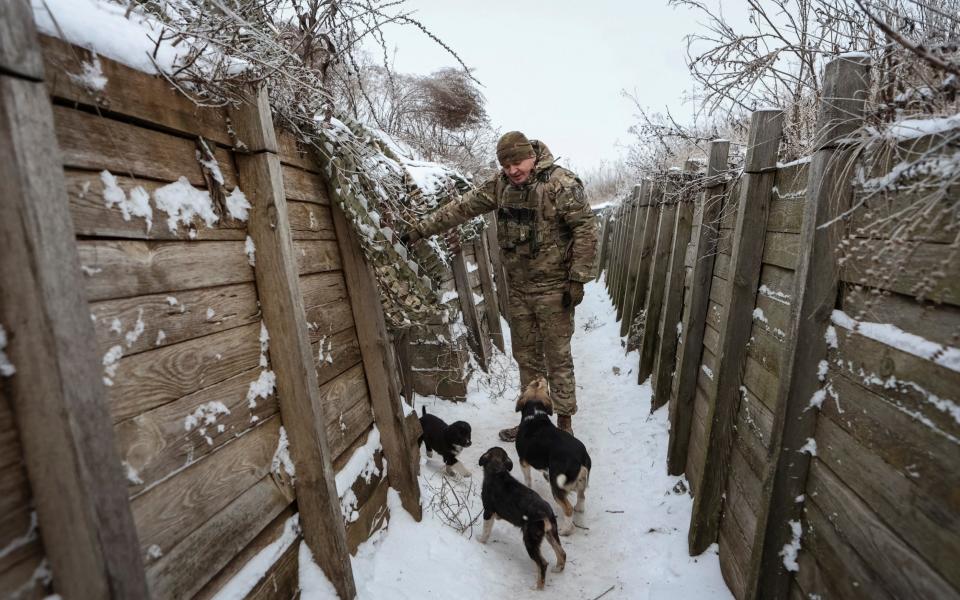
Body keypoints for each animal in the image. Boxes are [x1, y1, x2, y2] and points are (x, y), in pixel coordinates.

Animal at [478, 446, 568, 592]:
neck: (498, 471)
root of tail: (545, 513)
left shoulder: (488, 511)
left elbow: (486, 531)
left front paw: (480, 541)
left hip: (530, 540)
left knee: (543, 563)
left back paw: (537, 587)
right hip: (551, 534)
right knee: (562, 553)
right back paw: (558, 569)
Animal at [512, 378, 588, 536]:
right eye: (536, 383)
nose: (541, 377)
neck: (535, 414)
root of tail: (580, 457)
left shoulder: (523, 462)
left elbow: (528, 480)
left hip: (557, 487)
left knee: (568, 509)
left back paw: (565, 530)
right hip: (581, 481)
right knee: (581, 496)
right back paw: (579, 508)